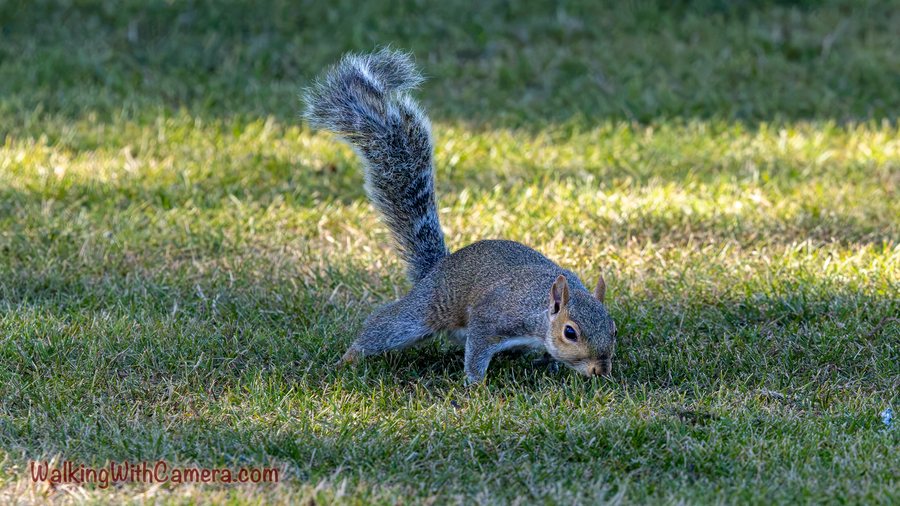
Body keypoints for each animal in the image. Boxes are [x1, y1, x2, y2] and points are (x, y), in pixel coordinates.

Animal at [304, 49, 617, 384]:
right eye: (570, 333)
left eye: (612, 327)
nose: (601, 370)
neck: (539, 310)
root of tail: (437, 268)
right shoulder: (491, 318)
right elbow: (477, 349)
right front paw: (476, 385)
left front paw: (550, 364)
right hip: (425, 311)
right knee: (385, 326)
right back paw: (347, 359)